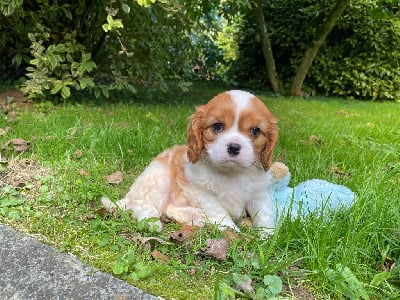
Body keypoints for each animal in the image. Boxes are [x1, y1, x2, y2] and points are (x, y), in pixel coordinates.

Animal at [101, 90, 278, 236]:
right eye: (217, 126)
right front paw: (230, 229)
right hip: (159, 179)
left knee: (169, 208)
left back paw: (196, 217)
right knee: (143, 206)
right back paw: (153, 223)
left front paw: (268, 235)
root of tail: (130, 196)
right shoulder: (199, 190)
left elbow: (264, 213)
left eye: (255, 131)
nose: (234, 147)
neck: (230, 172)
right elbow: (218, 210)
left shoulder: (259, 193)